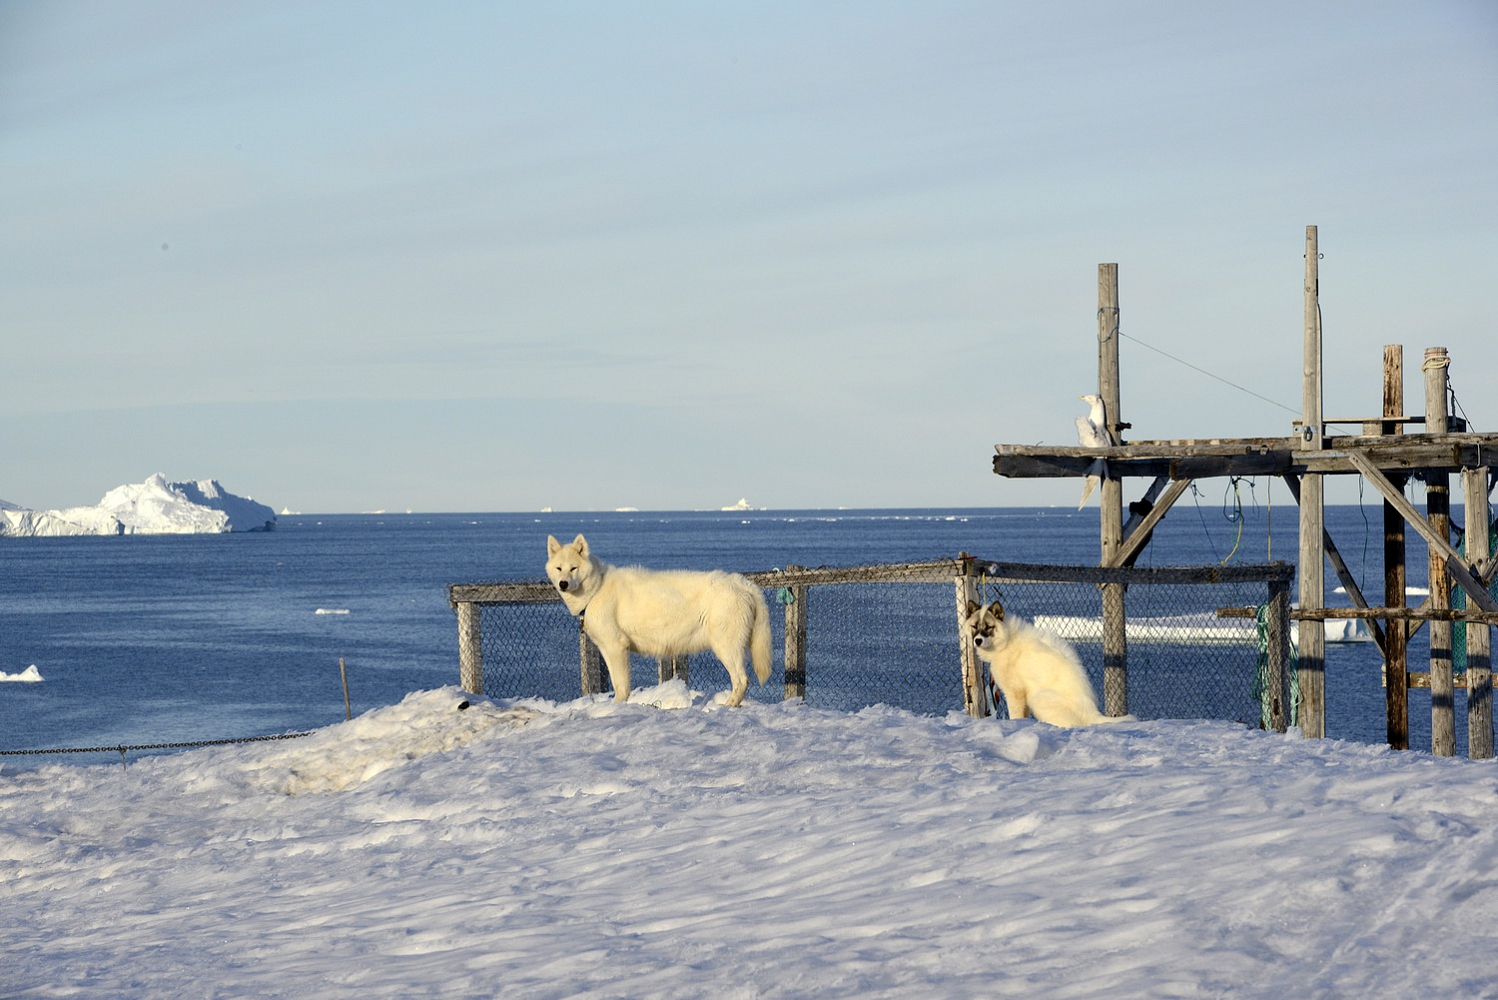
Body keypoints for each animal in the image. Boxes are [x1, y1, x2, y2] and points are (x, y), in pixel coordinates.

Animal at [545, 535, 772, 706]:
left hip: (725, 647)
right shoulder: (607, 649)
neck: (596, 589)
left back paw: (726, 707)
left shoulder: (617, 646)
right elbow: (617, 683)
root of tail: (743, 583)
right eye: (559, 568)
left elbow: (621, 685)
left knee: (741, 680)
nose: (563, 584)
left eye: (573, 568)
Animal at [964, 598, 1120, 730]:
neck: (1006, 640)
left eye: (988, 627)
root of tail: (1091, 712)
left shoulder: (1015, 693)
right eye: (974, 626)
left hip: (1039, 698)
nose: (978, 640)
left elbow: (1015, 716)